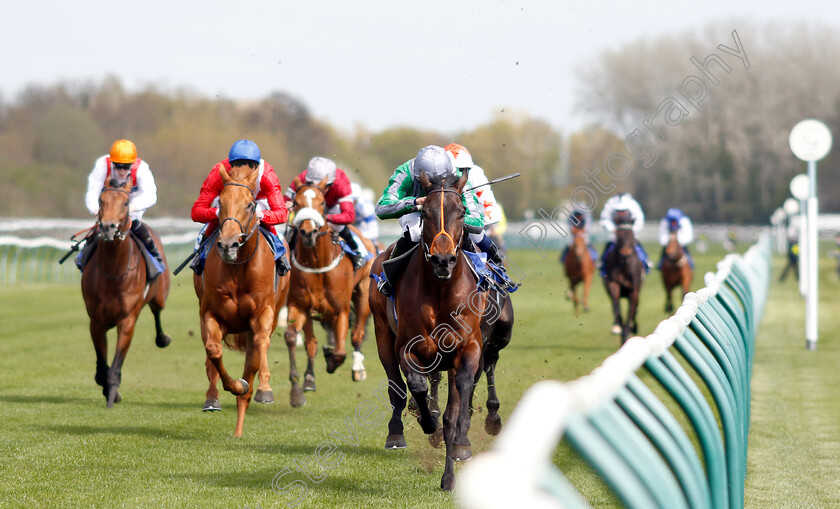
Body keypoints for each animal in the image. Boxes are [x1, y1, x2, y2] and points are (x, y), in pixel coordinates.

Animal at [81, 177, 171, 406]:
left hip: (160, 295)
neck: (113, 274)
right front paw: (106, 386)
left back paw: (163, 339)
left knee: (157, 311)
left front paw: (112, 396)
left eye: (126, 202)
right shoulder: (96, 322)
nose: (107, 228)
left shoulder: (127, 321)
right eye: (101, 200)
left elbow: (114, 367)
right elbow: (102, 364)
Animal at [193, 165, 290, 434]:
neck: (238, 269)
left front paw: (263, 389)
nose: (228, 244)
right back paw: (215, 402)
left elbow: (260, 343)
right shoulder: (211, 314)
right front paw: (233, 386)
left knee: (257, 353)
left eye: (249, 204)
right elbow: (213, 351)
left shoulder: (262, 315)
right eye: (221, 202)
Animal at [282, 177, 374, 406]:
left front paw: (332, 360)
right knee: (312, 342)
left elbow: (341, 351)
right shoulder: (299, 305)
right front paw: (297, 390)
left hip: (363, 295)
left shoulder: (341, 311)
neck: (317, 265)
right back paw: (310, 377)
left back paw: (357, 368)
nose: (308, 232)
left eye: (322, 203)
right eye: (295, 203)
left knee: (357, 335)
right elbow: (293, 337)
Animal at [370, 169, 482, 490]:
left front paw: (455, 458)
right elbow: (416, 386)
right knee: (396, 387)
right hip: (382, 334)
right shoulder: (408, 347)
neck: (441, 291)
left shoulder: (468, 347)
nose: (443, 260)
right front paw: (426, 420)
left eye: (462, 212)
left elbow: (457, 404)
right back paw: (397, 432)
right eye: (425, 213)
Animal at [596, 210, 644, 342]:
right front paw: (619, 328)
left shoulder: (634, 290)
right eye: (619, 235)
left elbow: (631, 311)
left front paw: (627, 332)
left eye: (632, 235)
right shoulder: (613, 285)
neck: (624, 267)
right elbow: (617, 308)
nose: (625, 254)